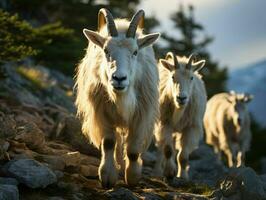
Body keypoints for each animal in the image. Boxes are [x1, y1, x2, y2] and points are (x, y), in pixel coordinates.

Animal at [74, 8, 160, 188]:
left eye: (135, 52)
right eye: (106, 51)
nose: (119, 79)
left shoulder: (142, 115)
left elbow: (133, 149)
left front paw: (133, 177)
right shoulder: (101, 113)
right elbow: (108, 143)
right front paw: (107, 176)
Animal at [153, 52, 207, 180]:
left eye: (191, 77)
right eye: (173, 77)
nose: (181, 98)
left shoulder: (191, 127)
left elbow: (183, 156)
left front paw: (183, 176)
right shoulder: (164, 123)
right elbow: (168, 150)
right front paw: (169, 172)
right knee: (161, 148)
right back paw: (158, 171)